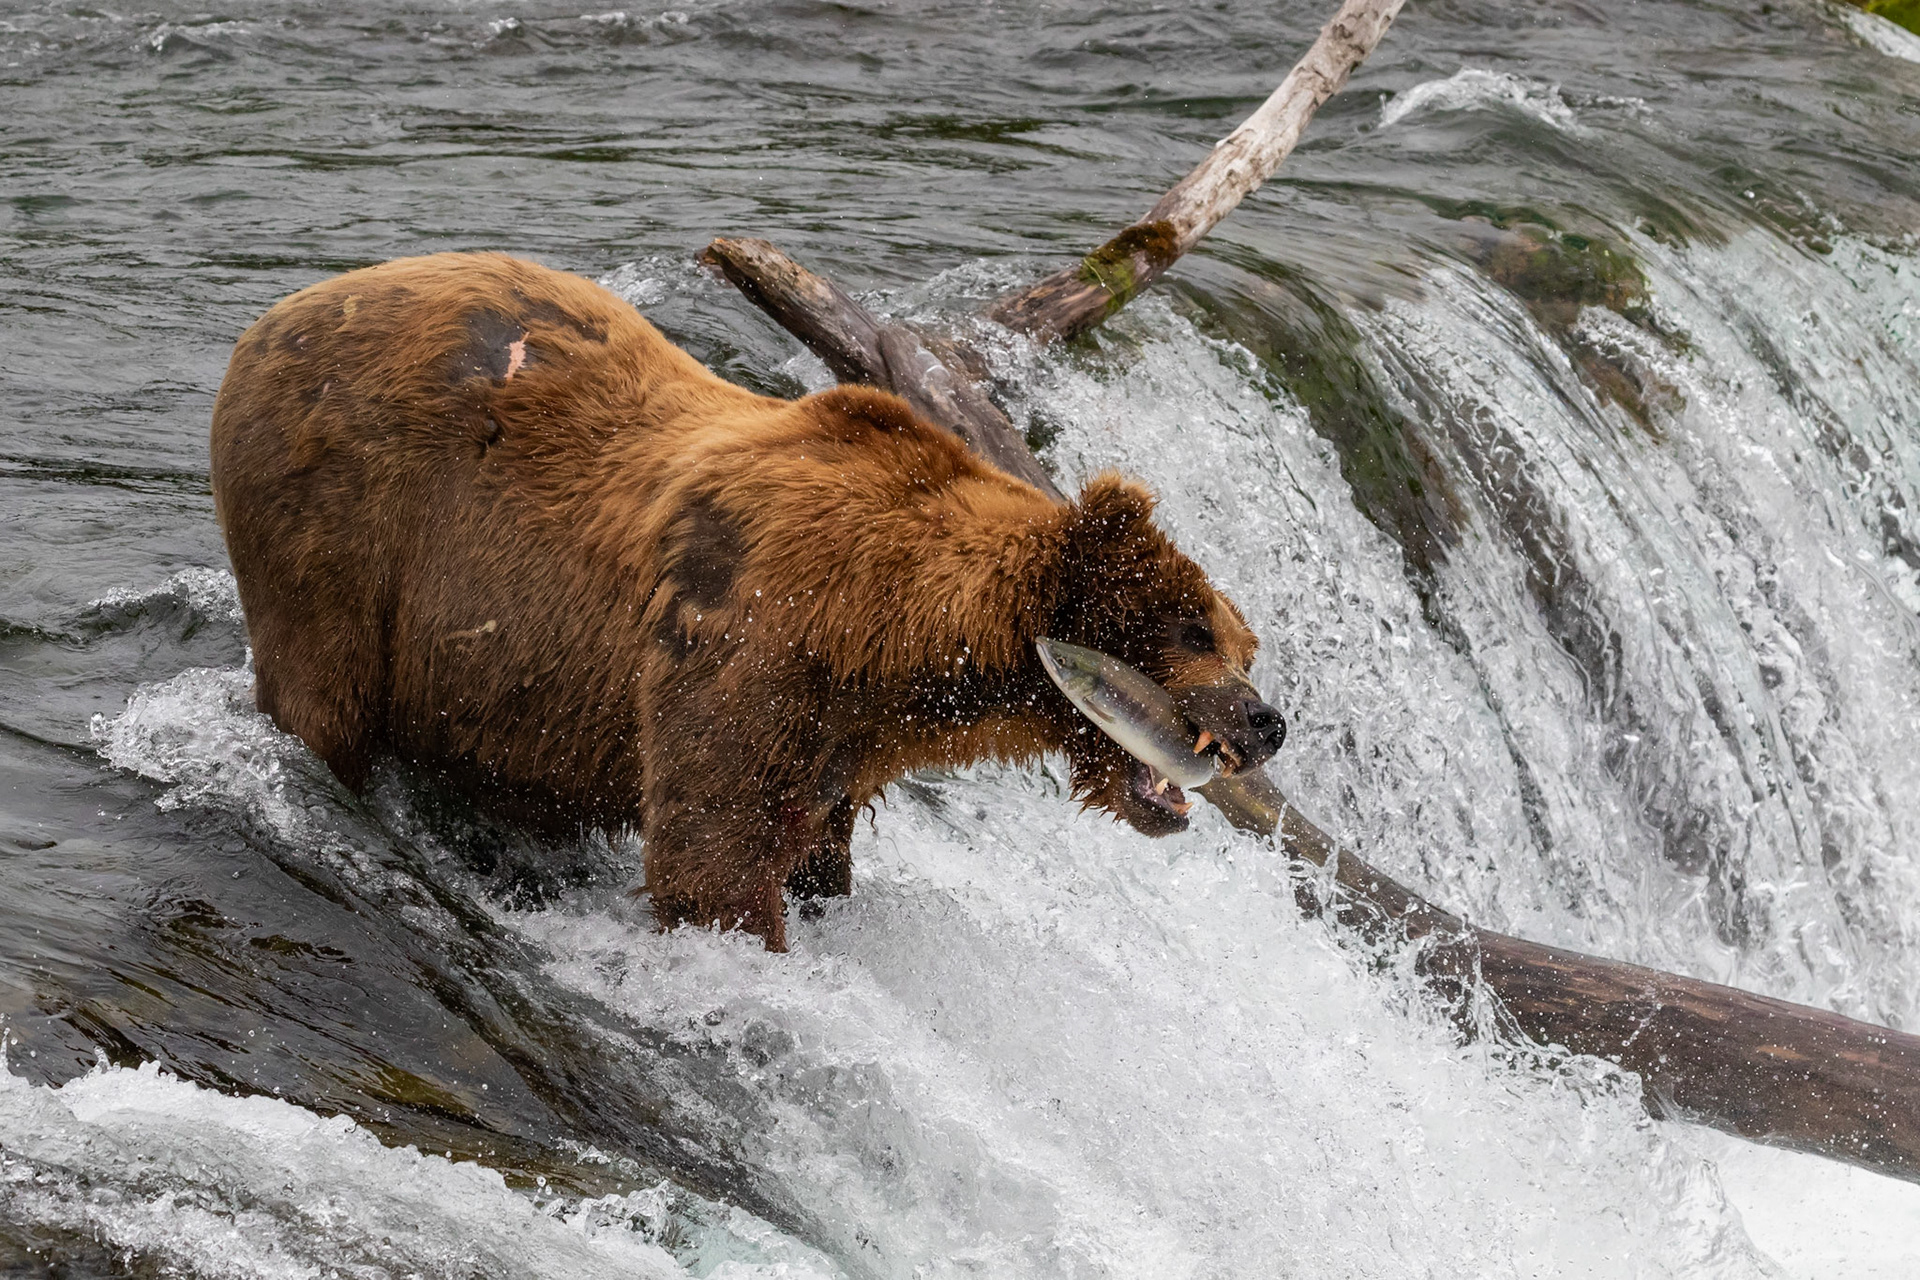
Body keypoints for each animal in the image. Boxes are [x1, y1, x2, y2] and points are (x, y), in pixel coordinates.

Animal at [209, 252, 1286, 950]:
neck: (895, 639)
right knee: (323, 695)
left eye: (1246, 643)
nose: (1266, 722)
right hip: (348, 529)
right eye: (1193, 627)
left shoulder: (838, 743)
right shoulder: (748, 636)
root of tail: (264, 323)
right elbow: (711, 854)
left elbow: (813, 849)